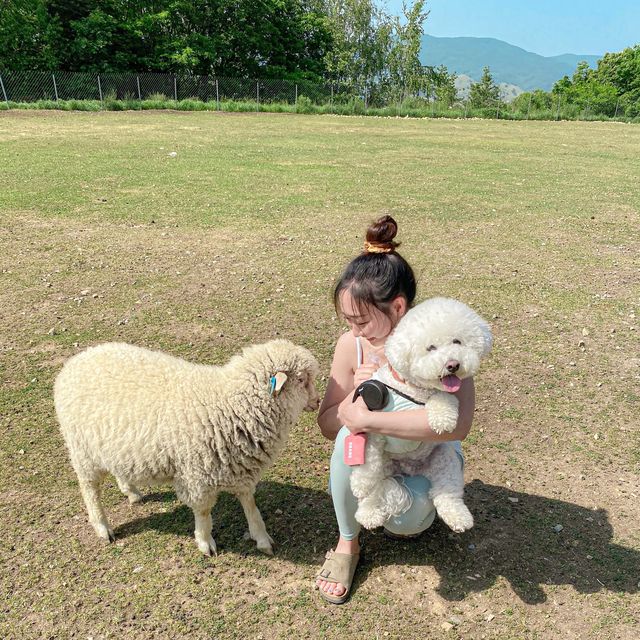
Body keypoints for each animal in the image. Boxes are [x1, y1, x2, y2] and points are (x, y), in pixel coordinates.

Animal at [53, 340, 318, 556]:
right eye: (302, 379)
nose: (317, 402)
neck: (230, 404)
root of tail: (75, 361)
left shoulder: (241, 467)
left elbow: (250, 505)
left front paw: (261, 537)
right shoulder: (197, 476)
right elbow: (203, 512)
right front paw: (205, 542)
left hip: (114, 446)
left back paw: (132, 492)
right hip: (83, 452)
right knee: (90, 490)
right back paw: (102, 526)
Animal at [350, 298, 490, 532]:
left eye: (457, 341)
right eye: (430, 348)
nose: (453, 364)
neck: (413, 389)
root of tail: (410, 469)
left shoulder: (441, 395)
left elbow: (445, 397)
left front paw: (442, 418)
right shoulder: (371, 432)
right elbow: (367, 468)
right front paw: (360, 484)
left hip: (445, 460)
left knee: (447, 492)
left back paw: (458, 517)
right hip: (387, 466)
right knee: (375, 489)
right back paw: (368, 513)